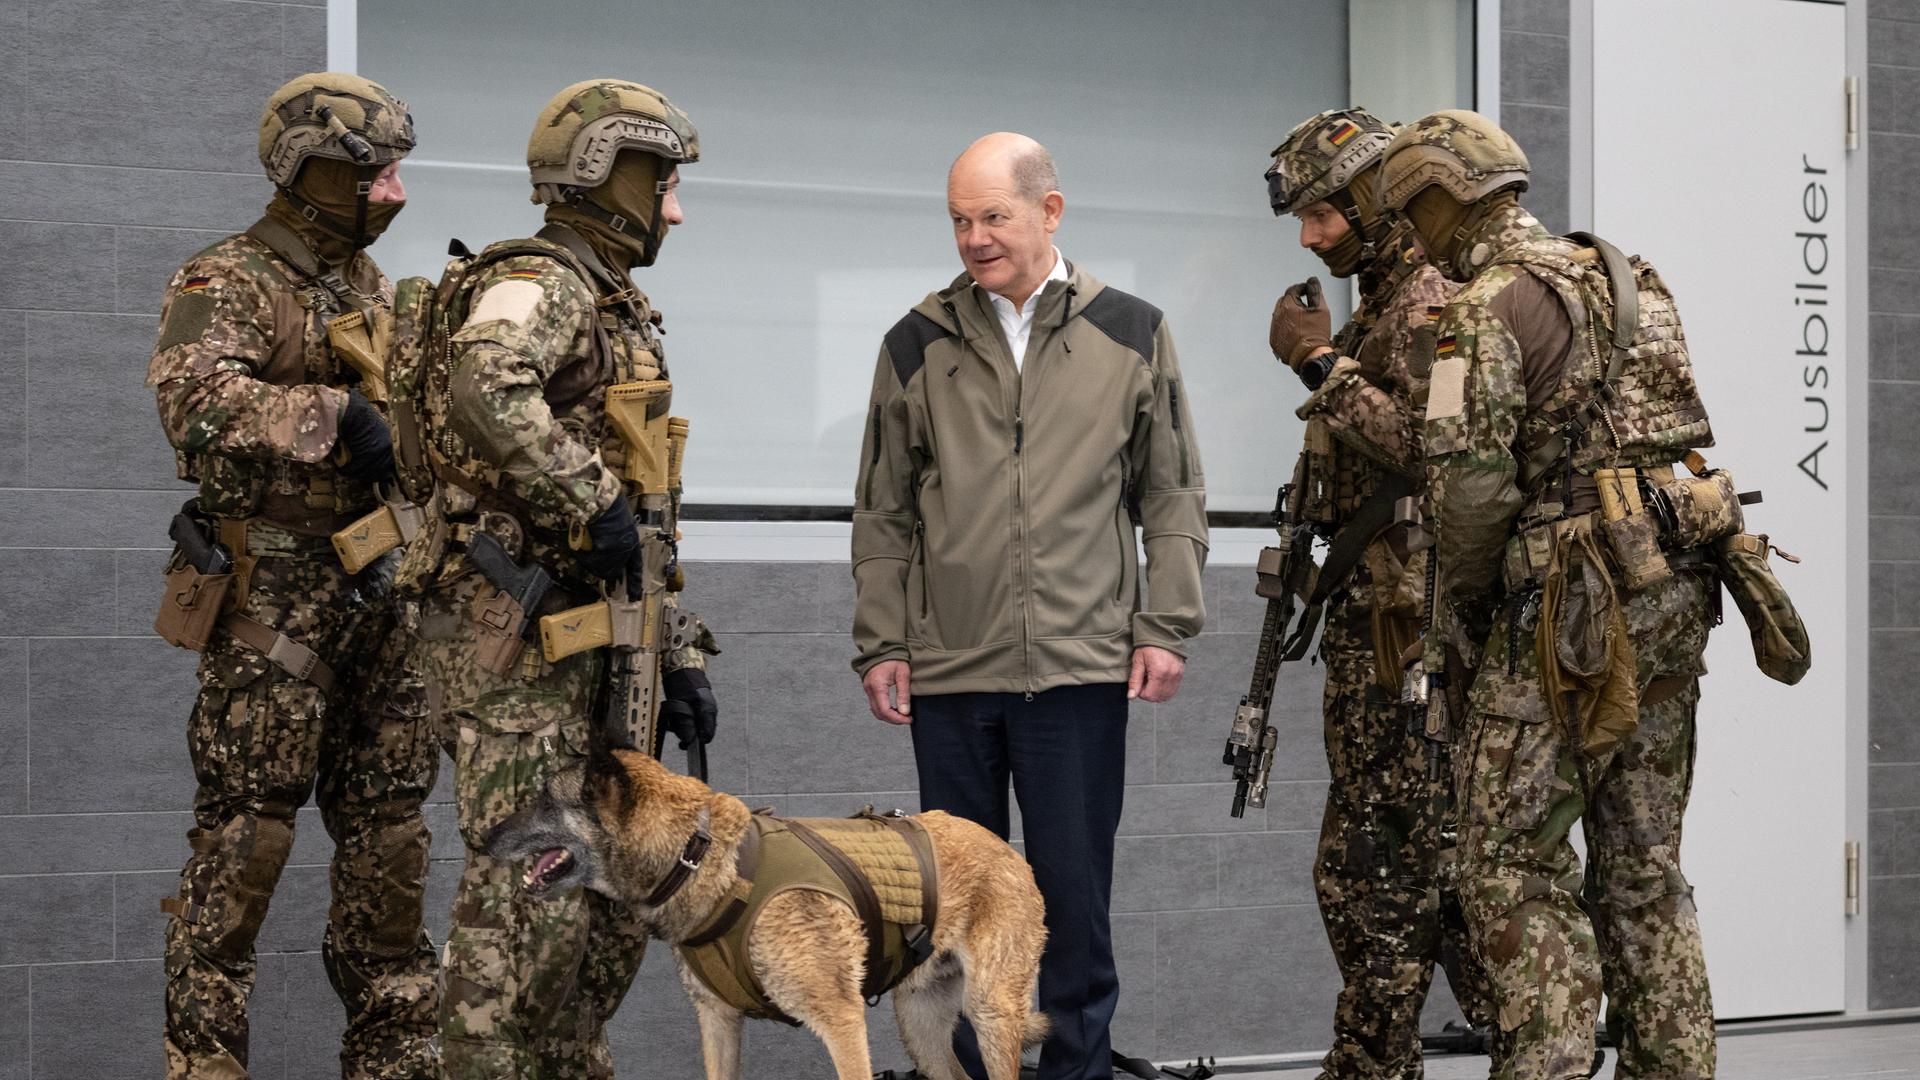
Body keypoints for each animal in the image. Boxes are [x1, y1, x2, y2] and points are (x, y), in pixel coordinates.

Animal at [480, 745, 1052, 1076]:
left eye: (545, 800)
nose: (482, 839)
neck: (700, 853)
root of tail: (1005, 847)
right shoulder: (719, 1022)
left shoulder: (842, 1022)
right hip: (923, 1028)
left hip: (990, 1016)